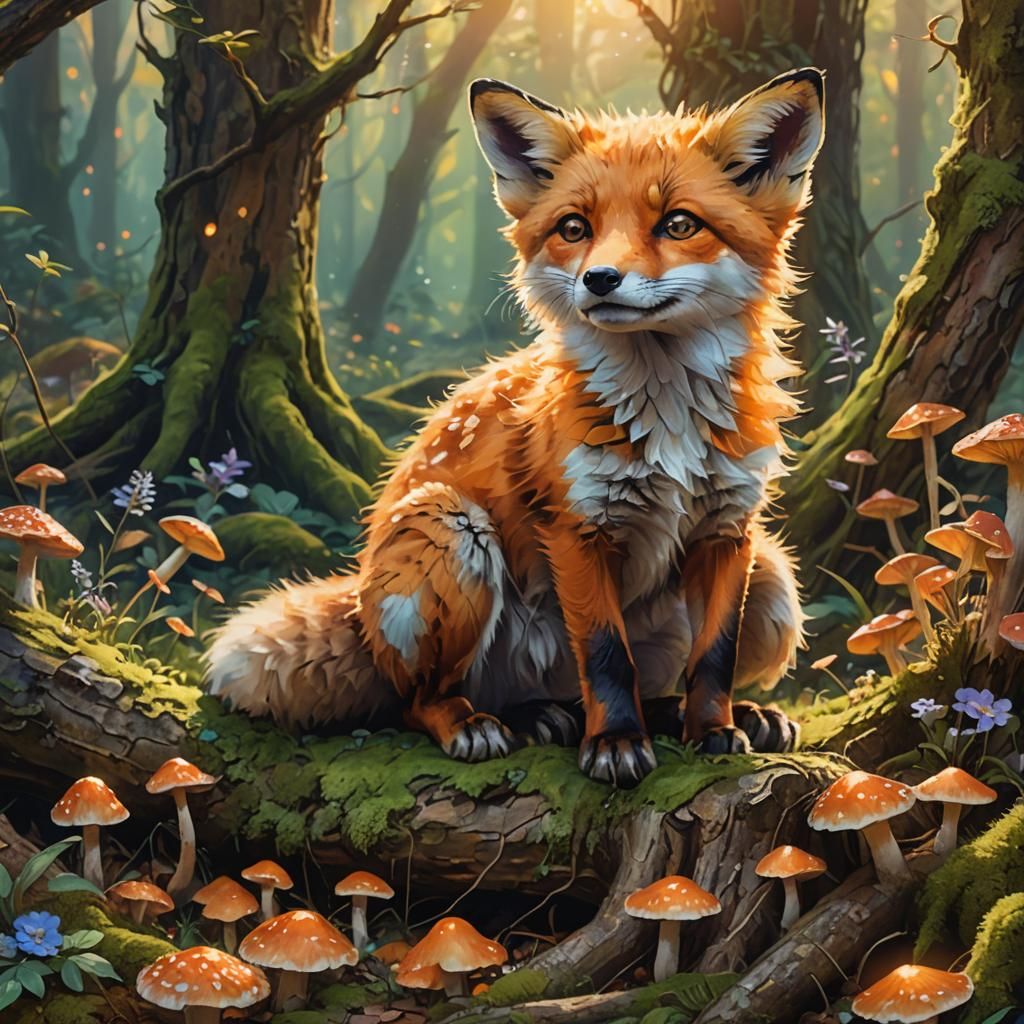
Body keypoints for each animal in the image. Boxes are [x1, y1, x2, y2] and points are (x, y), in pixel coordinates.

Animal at [207, 67, 824, 787]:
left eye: (678, 223)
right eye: (575, 227)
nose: (600, 279)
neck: (666, 420)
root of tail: (359, 602)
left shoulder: (729, 528)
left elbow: (714, 656)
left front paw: (715, 730)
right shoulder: (578, 528)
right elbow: (606, 655)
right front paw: (615, 744)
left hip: (775, 581)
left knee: (646, 685)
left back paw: (702, 715)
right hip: (451, 533)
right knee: (417, 700)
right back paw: (490, 723)